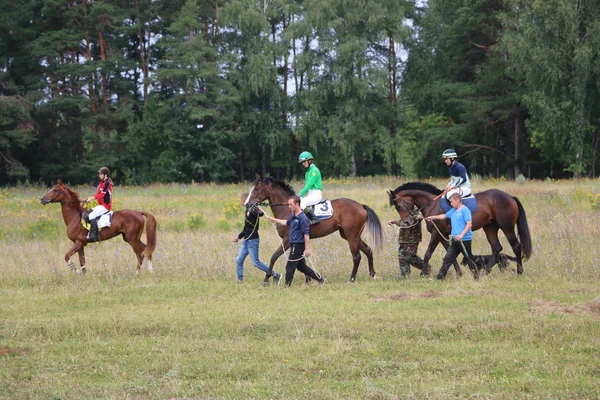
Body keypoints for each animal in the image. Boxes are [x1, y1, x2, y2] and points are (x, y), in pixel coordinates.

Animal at [245, 174, 382, 282]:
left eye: (256, 188)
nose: (247, 204)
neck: (287, 210)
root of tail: (361, 206)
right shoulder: (297, 241)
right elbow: (301, 260)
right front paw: (308, 278)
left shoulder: (287, 240)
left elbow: (274, 257)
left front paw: (266, 278)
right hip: (350, 235)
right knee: (368, 250)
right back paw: (373, 274)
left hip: (351, 236)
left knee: (356, 256)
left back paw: (352, 279)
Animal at [390, 183, 536, 276]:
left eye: (398, 205)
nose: (407, 222)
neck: (432, 204)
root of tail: (510, 197)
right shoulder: (442, 235)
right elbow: (450, 254)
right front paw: (459, 273)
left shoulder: (436, 234)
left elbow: (428, 253)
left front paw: (423, 273)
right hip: (490, 227)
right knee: (496, 247)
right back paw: (486, 271)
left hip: (507, 227)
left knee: (516, 246)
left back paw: (519, 271)